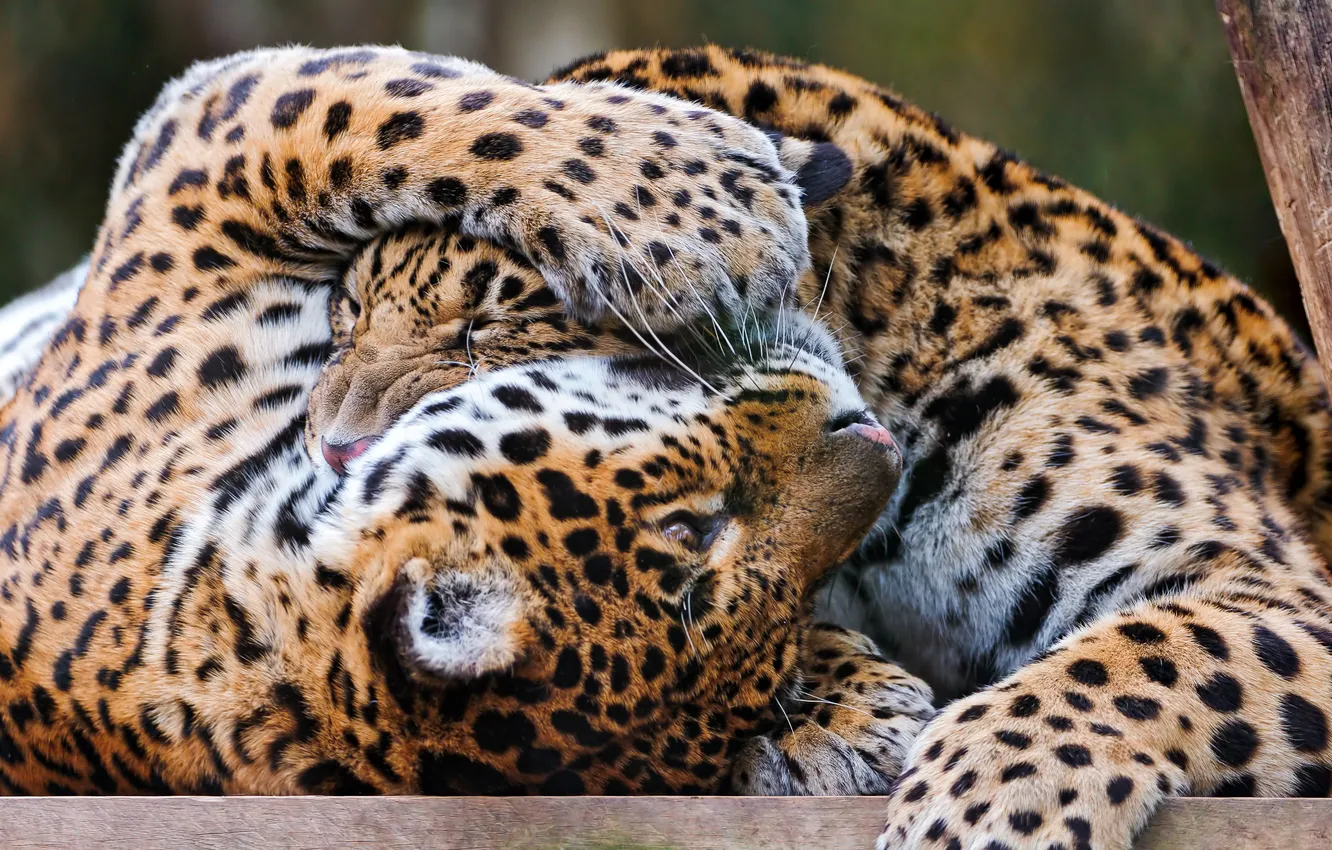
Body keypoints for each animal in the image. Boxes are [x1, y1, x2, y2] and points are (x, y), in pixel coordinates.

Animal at [0, 45, 938, 798]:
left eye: (790, 615)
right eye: (693, 526)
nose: (877, 444)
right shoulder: (204, 161)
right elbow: (396, 107)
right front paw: (710, 206)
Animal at [291, 45, 1332, 849]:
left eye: (492, 322)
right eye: (345, 322)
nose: (335, 457)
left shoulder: (1269, 582)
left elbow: (1151, 648)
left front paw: (988, 800)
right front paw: (838, 713)